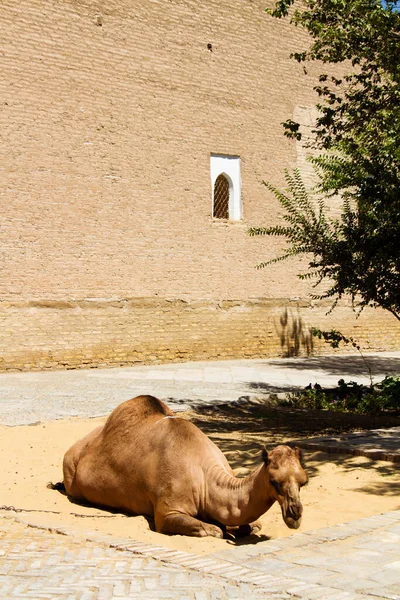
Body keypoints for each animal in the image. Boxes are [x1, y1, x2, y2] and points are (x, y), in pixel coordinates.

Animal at [57, 396, 308, 536]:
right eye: (275, 482)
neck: (206, 480)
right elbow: (215, 530)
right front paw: (221, 529)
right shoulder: (167, 513)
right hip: (70, 470)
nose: (295, 513)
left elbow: (247, 524)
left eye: (303, 482)